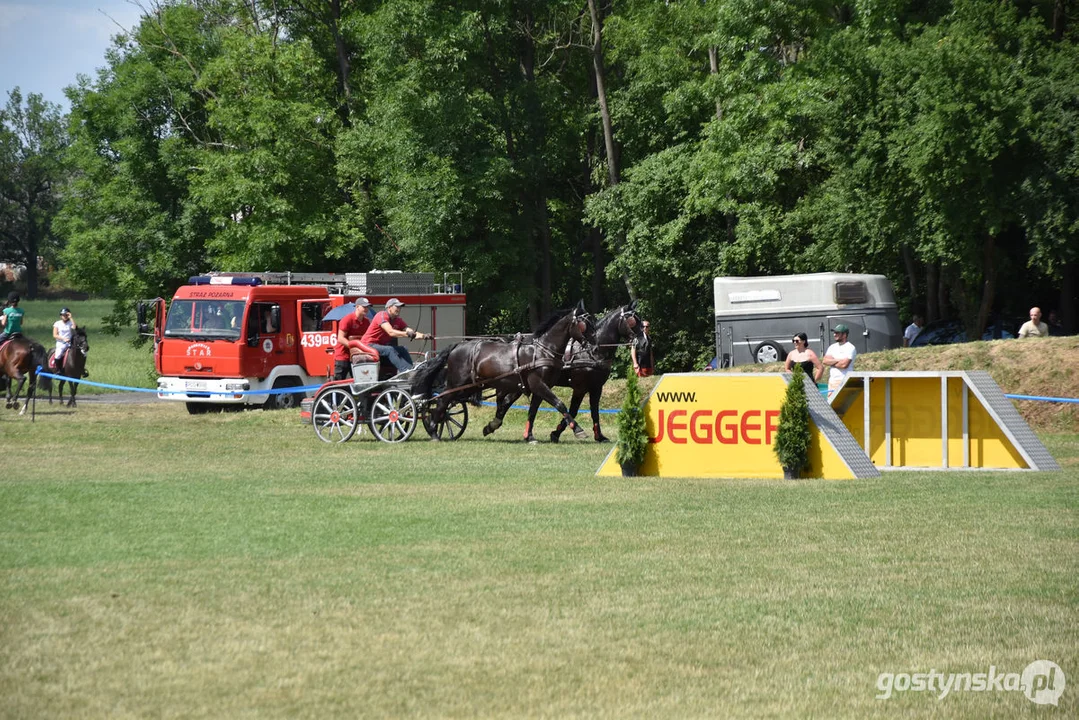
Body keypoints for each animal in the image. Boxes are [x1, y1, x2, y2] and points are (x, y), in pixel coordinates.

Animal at [412, 300, 599, 444]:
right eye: (584, 325)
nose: (596, 347)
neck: (544, 351)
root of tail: (457, 346)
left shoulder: (539, 387)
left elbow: (532, 412)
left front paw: (529, 436)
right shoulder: (539, 384)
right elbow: (560, 404)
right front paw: (578, 430)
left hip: (469, 387)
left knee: (445, 403)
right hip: (456, 383)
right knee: (441, 403)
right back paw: (434, 432)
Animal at [548, 300, 638, 442]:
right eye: (632, 321)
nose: (642, 341)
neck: (592, 353)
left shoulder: (596, 387)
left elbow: (595, 411)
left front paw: (599, 436)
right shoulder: (580, 388)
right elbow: (573, 410)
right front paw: (557, 432)